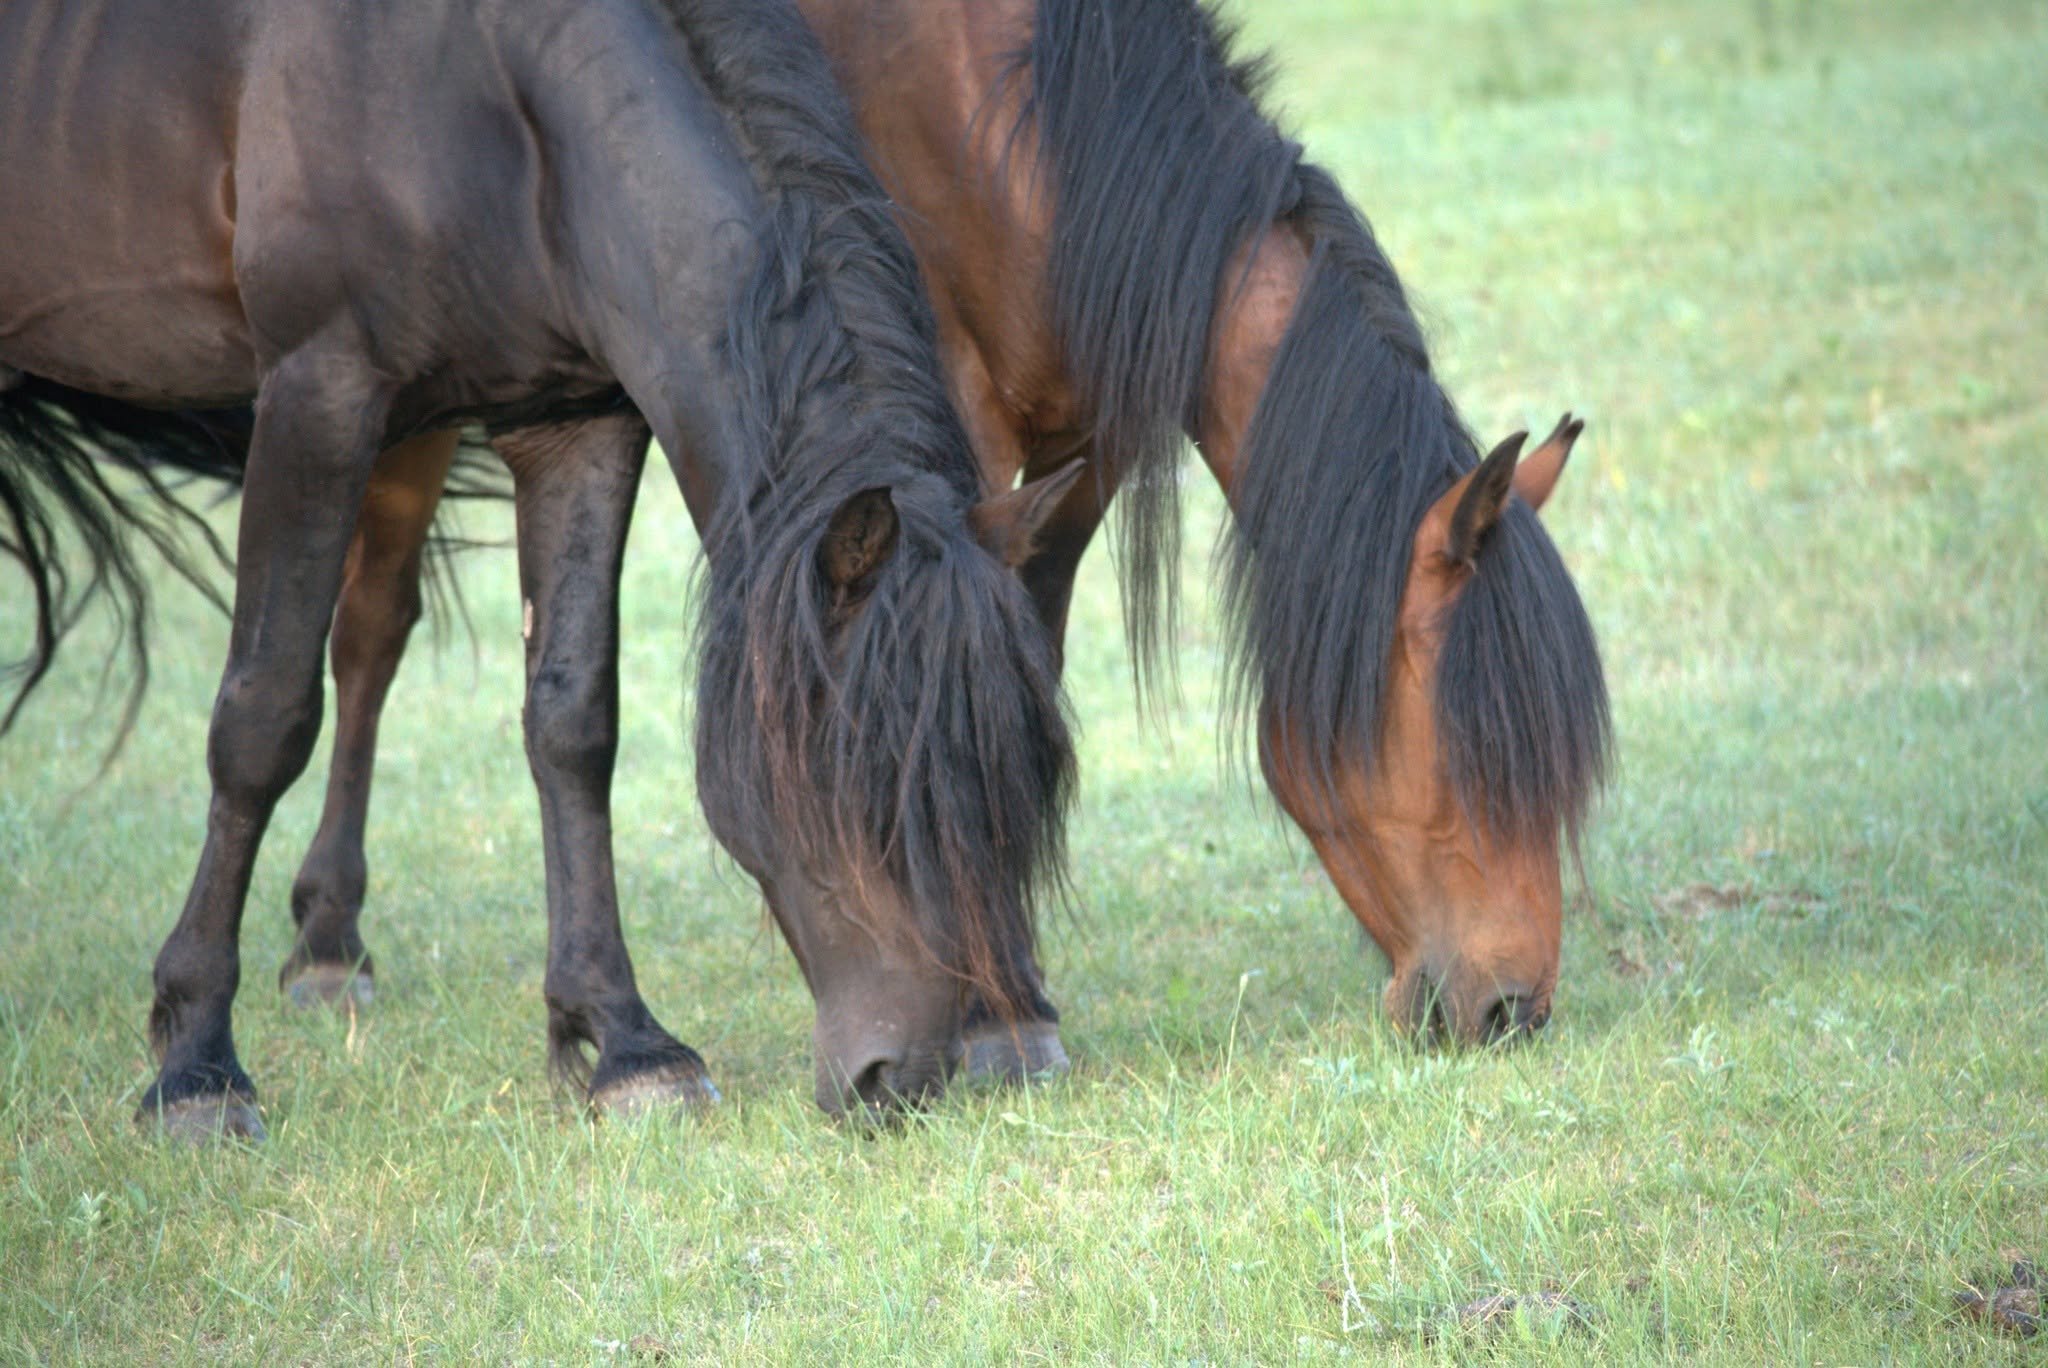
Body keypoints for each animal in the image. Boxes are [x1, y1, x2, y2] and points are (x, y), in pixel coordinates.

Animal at [0, 0, 1078, 1134]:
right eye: (867, 779)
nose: (901, 1081)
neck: (487, 79)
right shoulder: (316, 394)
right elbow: (262, 723)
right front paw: (196, 1065)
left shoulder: (574, 424)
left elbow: (571, 722)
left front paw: (623, 1040)